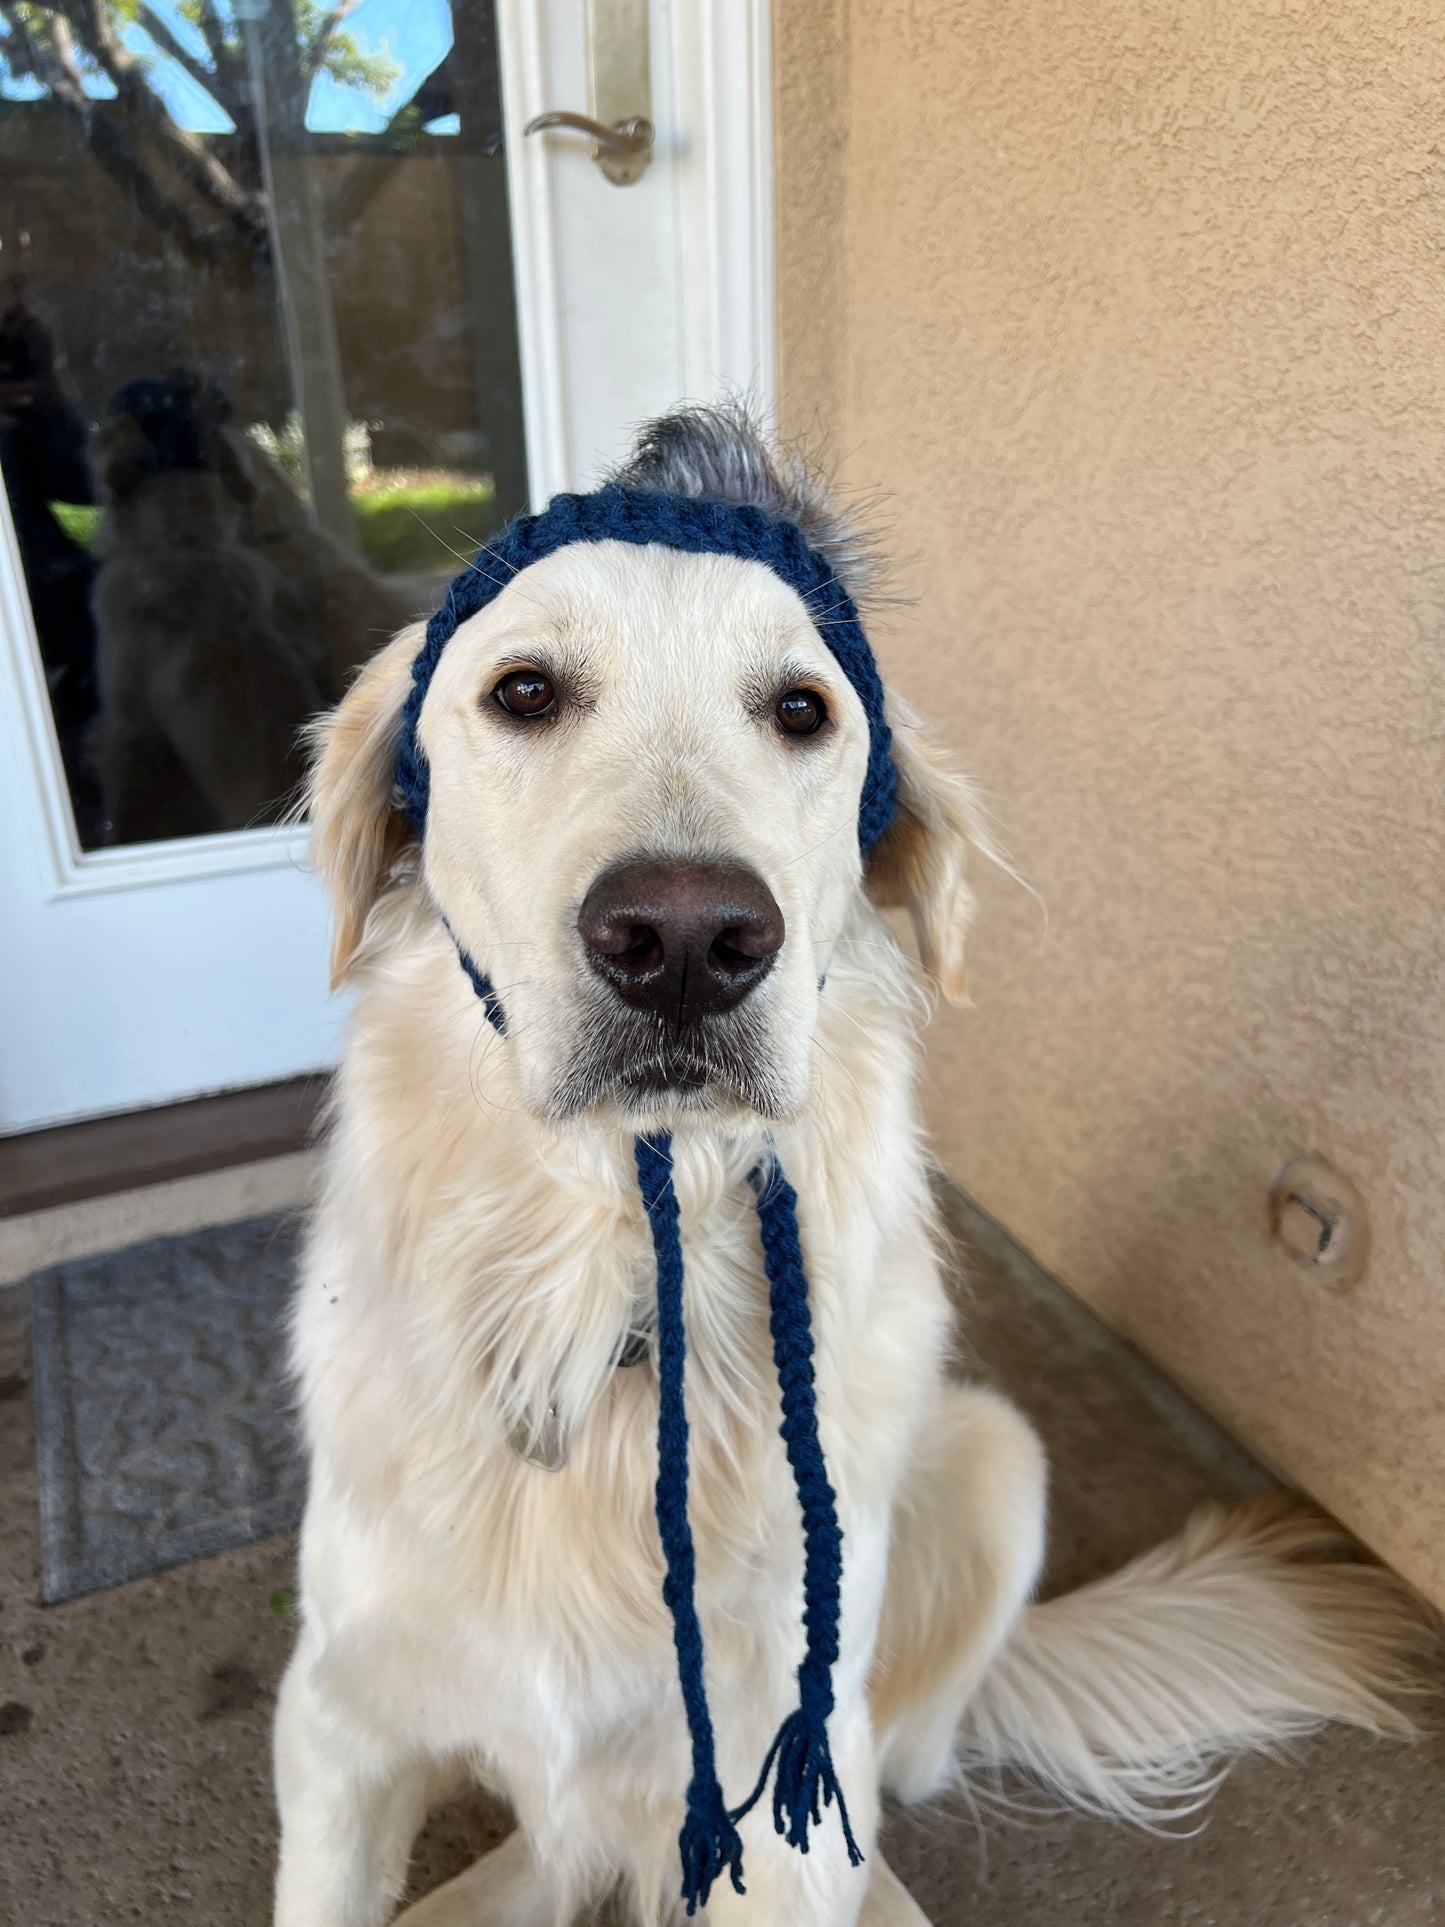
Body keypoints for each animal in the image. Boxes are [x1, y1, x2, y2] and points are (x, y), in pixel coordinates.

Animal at [271, 398, 1425, 1919]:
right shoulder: (337, 1733)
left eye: (800, 710)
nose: (685, 938)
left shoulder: (779, 1799)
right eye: (522, 691)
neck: (627, 1290)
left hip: (992, 1466)